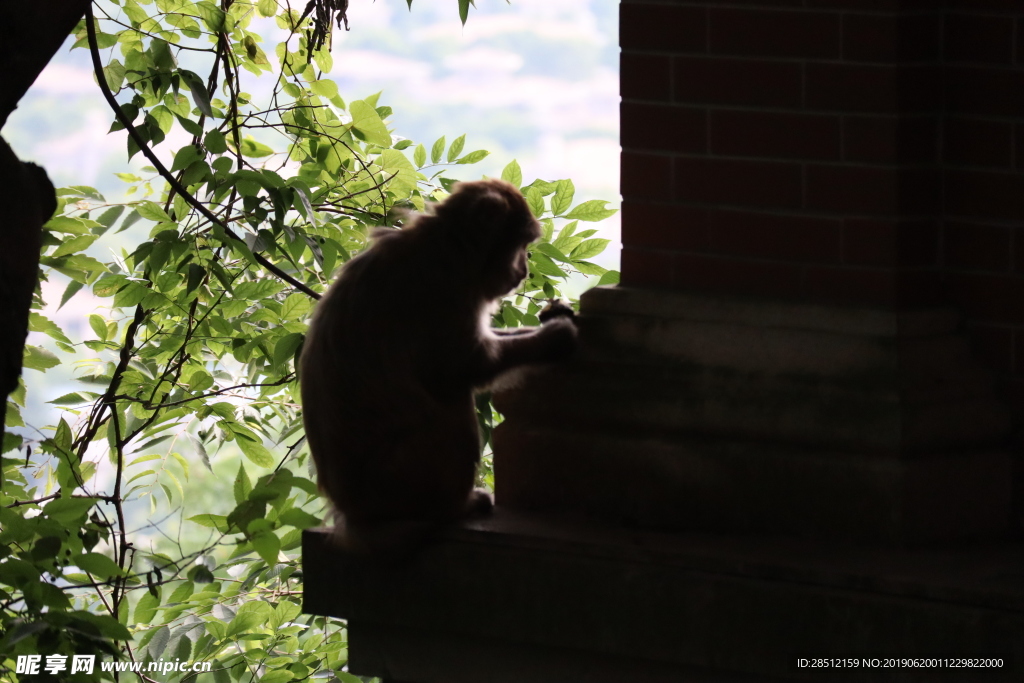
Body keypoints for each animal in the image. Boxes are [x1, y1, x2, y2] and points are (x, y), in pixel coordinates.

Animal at [299, 178, 581, 557]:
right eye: (520, 244)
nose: (522, 272)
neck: (447, 243)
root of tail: (354, 516)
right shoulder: (444, 288)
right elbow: (464, 366)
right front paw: (556, 336)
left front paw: (555, 316)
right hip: (404, 480)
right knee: (451, 400)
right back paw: (455, 508)